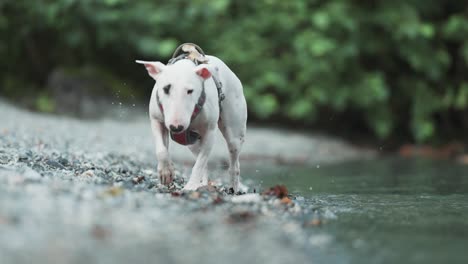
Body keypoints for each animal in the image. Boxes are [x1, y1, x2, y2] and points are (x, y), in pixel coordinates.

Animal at [136, 43, 249, 192]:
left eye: (190, 91)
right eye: (166, 89)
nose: (176, 127)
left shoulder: (209, 131)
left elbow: (200, 163)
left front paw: (190, 186)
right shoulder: (157, 121)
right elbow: (161, 150)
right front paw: (166, 172)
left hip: (234, 132)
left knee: (233, 161)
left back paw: (233, 188)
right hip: (191, 142)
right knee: (201, 158)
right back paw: (203, 183)